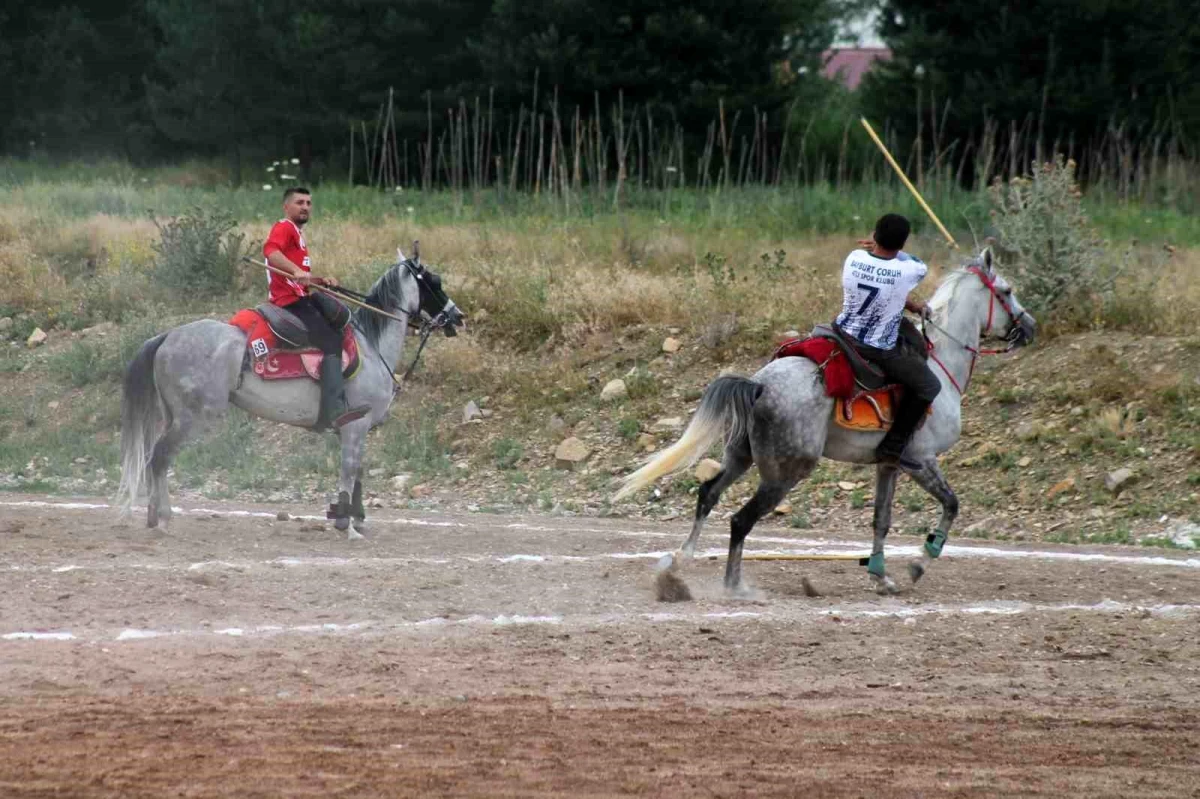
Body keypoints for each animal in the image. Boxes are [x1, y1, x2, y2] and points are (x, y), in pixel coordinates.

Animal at [117, 242, 463, 535]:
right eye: (434, 281)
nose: (458, 317)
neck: (371, 346)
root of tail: (168, 336)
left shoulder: (356, 429)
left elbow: (359, 472)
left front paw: (355, 518)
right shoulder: (356, 425)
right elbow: (350, 470)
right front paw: (345, 522)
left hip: (172, 414)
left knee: (155, 458)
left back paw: (153, 516)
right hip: (193, 417)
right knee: (160, 457)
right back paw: (163, 518)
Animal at [614, 245, 1036, 595]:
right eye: (1008, 290)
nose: (1029, 327)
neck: (941, 361)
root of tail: (758, 385)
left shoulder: (889, 463)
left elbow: (881, 520)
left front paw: (881, 576)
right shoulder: (921, 459)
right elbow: (951, 504)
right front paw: (919, 562)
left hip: (741, 456)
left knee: (708, 495)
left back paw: (681, 562)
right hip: (785, 473)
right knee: (740, 520)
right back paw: (735, 587)